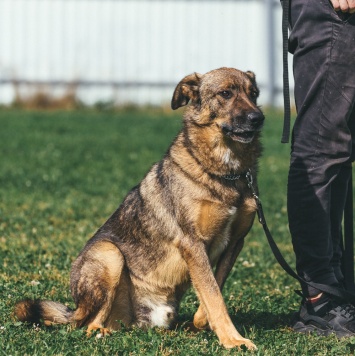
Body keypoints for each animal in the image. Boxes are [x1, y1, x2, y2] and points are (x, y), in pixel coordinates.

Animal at [14, 67, 264, 350]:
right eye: (225, 93)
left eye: (254, 94)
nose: (258, 118)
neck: (227, 174)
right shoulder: (193, 244)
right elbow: (214, 296)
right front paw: (234, 340)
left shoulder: (235, 243)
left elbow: (213, 291)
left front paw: (203, 325)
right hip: (109, 254)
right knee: (87, 324)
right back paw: (100, 331)